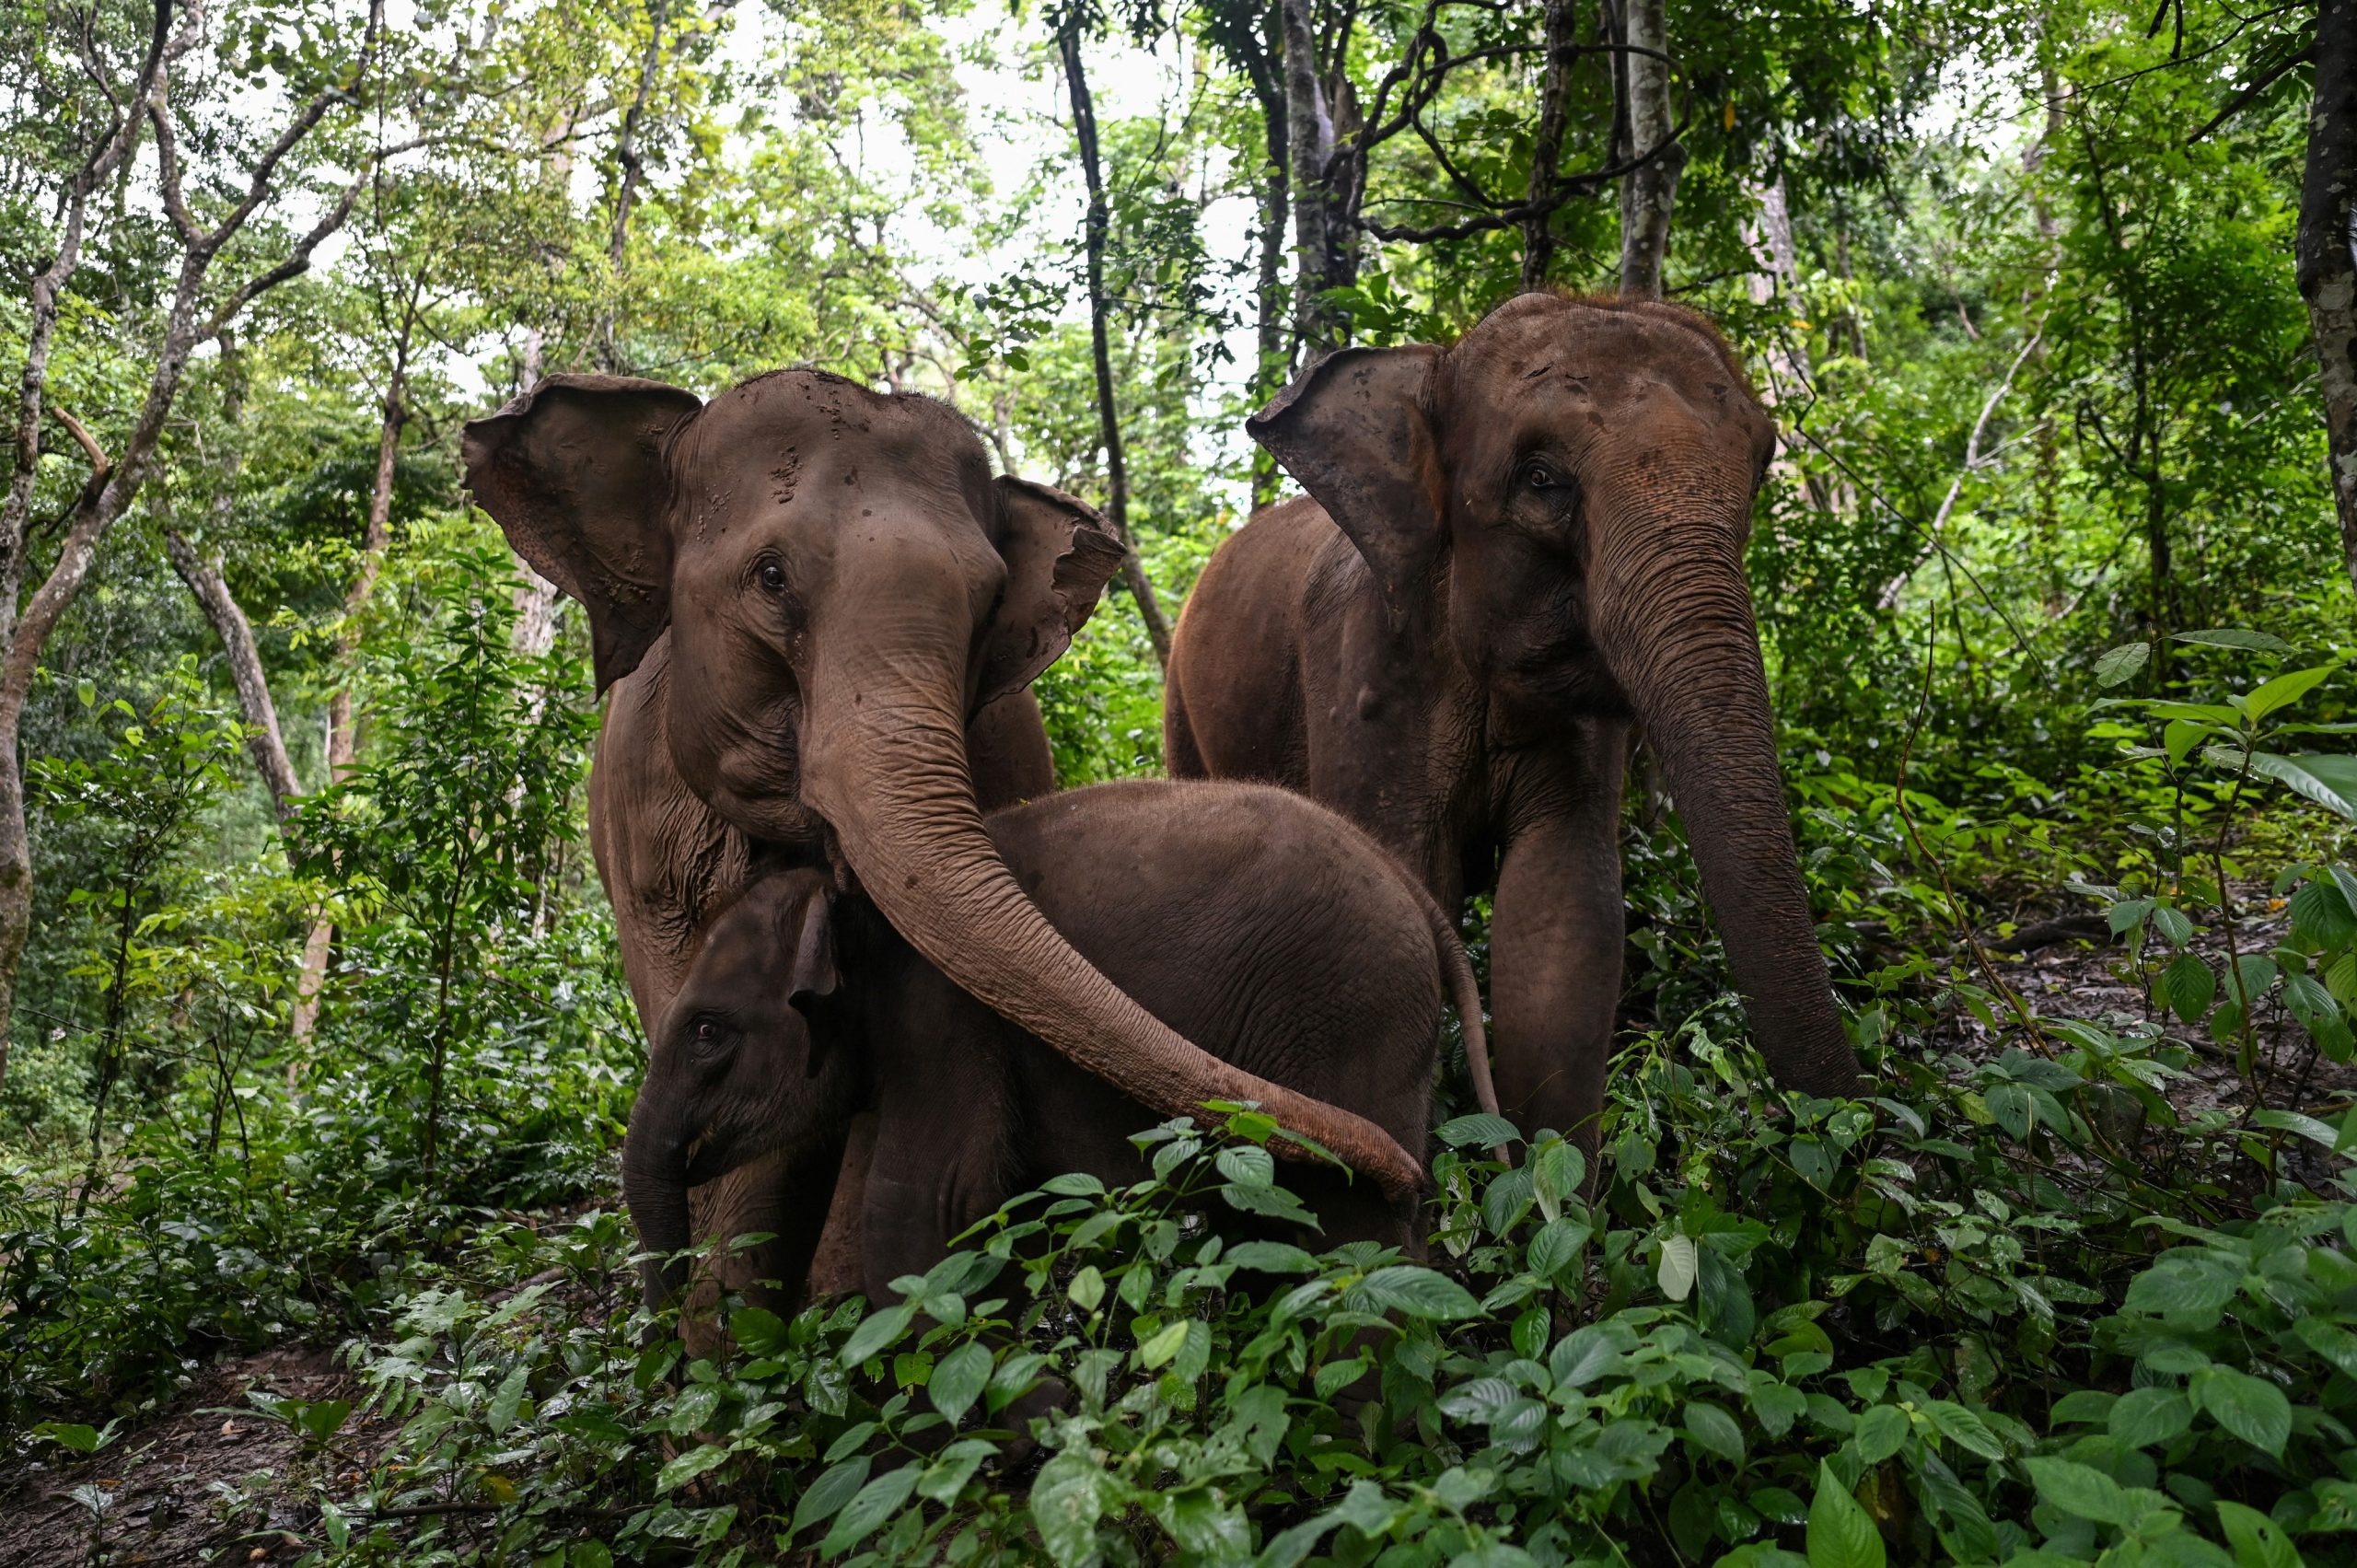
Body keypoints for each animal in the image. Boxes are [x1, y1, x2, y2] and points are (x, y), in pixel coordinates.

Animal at [621, 778, 1496, 1313]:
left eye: (706, 1031)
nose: (681, 1338)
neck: (853, 898)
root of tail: (1415, 890)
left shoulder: (946, 1017)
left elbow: (926, 1207)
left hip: (1349, 1013)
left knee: (1354, 1236)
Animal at [1162, 293, 1864, 1150]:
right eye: (1540, 479)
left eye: (1760, 469)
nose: (1853, 1125)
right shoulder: (1364, 670)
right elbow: (1405, 883)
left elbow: (1565, 911)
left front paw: (1547, 1176)